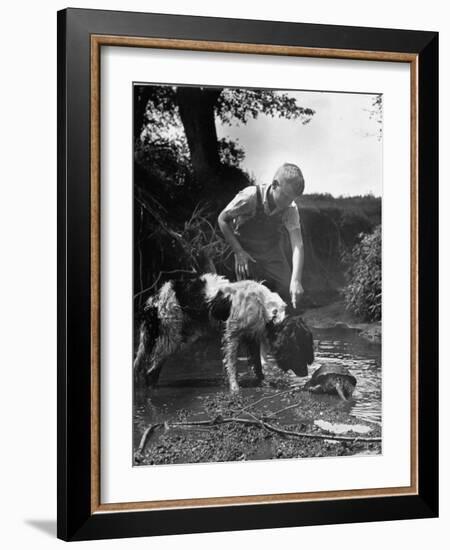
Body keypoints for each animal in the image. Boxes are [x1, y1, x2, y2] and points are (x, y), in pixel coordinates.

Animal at [134, 274, 312, 394]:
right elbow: (232, 365)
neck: (263, 307)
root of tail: (154, 299)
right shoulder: (232, 335)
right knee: (150, 370)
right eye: (299, 349)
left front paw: (263, 382)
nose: (306, 374)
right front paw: (235, 389)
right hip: (172, 338)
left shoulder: (252, 337)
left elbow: (257, 366)